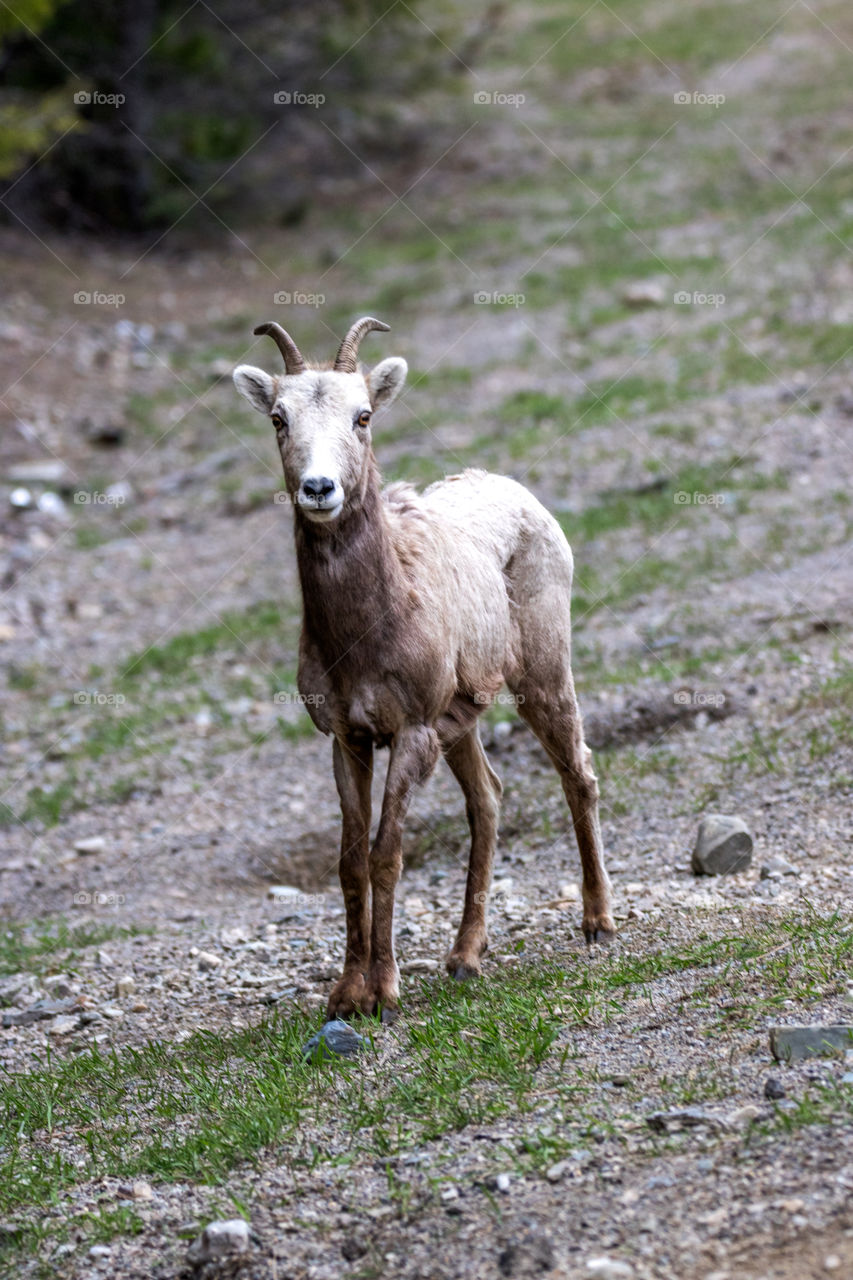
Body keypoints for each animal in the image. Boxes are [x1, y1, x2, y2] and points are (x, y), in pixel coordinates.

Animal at [233, 317, 612, 1018]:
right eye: (278, 418)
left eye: (362, 415)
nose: (319, 489)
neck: (366, 632)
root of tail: (516, 493)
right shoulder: (350, 740)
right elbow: (350, 860)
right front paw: (345, 995)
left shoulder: (409, 733)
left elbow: (387, 854)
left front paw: (383, 991)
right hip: (459, 724)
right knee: (488, 799)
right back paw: (464, 957)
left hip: (542, 677)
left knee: (578, 773)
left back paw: (598, 923)